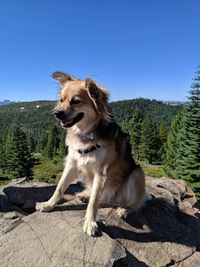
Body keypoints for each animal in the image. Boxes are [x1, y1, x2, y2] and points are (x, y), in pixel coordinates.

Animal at [36, 71, 145, 237]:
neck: (85, 134)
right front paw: (48, 204)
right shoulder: (72, 164)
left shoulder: (101, 173)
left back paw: (124, 209)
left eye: (75, 101)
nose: (56, 113)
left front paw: (90, 223)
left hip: (137, 173)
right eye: (61, 100)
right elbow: (60, 187)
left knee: (134, 203)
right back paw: (85, 194)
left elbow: (94, 202)